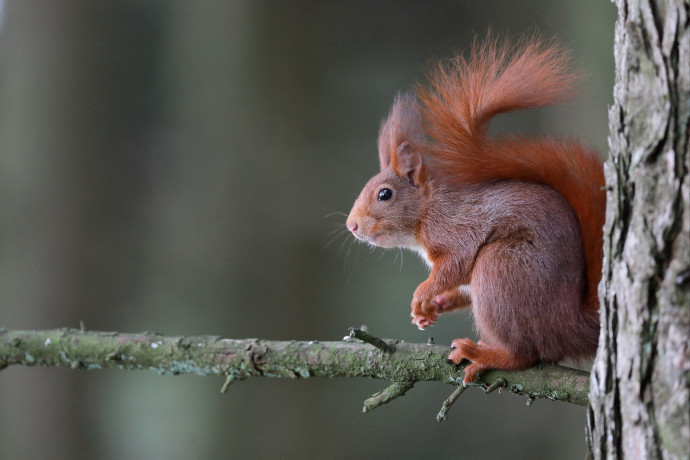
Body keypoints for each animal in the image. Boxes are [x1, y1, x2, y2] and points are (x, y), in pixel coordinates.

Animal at [344, 38, 600, 384]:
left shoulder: (456, 229)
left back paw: (484, 354)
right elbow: (456, 286)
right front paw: (431, 308)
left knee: (525, 355)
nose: (352, 226)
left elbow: (455, 263)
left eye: (385, 194)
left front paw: (421, 294)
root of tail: (569, 325)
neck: (428, 210)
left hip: (501, 271)